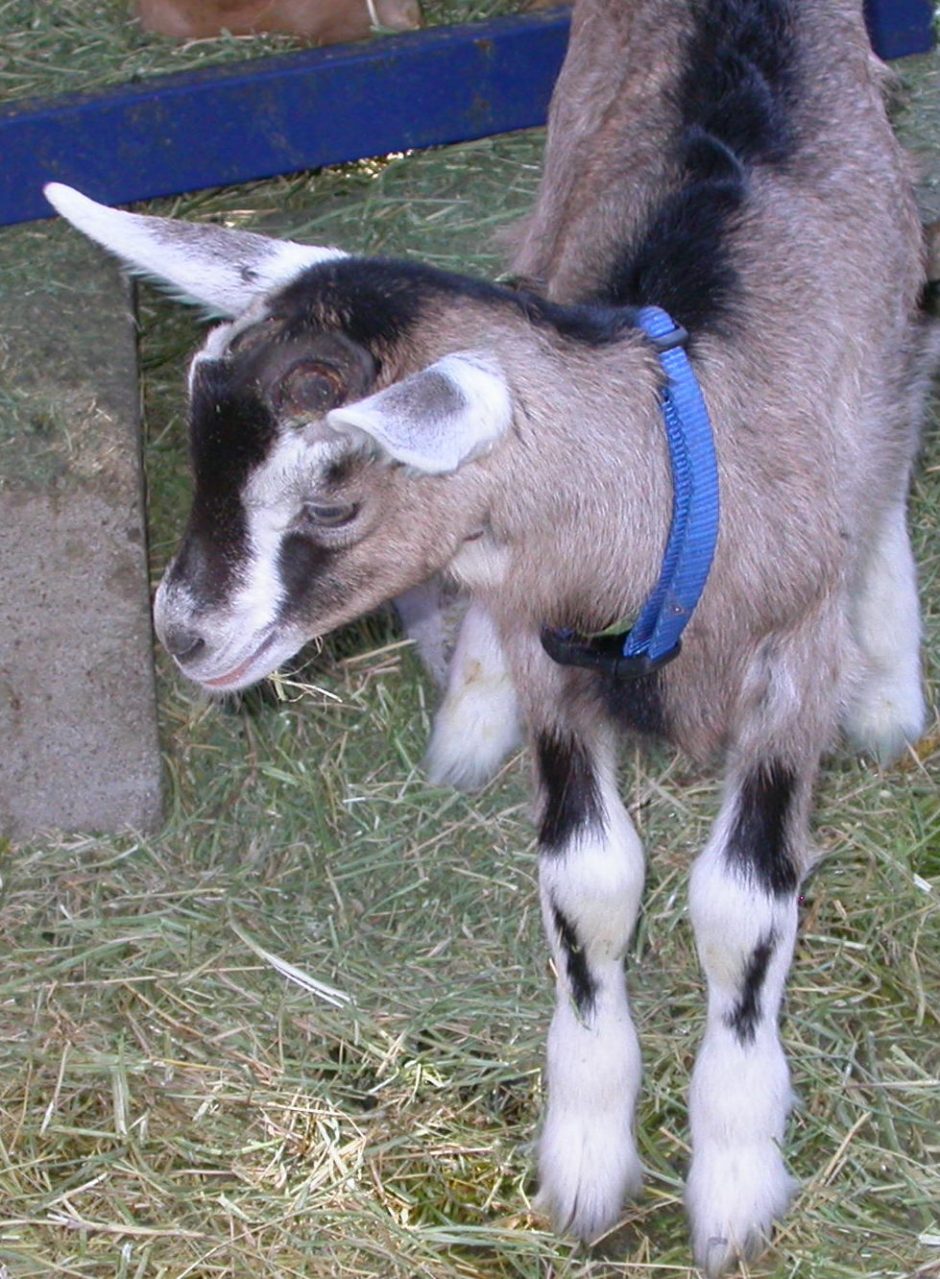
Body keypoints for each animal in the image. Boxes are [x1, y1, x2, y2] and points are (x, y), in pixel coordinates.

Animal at [45, 0, 935, 1270]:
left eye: (333, 499)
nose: (185, 633)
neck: (680, 466)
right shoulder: (551, 646)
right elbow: (589, 879)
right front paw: (586, 1156)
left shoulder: (788, 662)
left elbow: (742, 905)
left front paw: (732, 1174)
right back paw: (469, 710)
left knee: (901, 421)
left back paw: (892, 670)